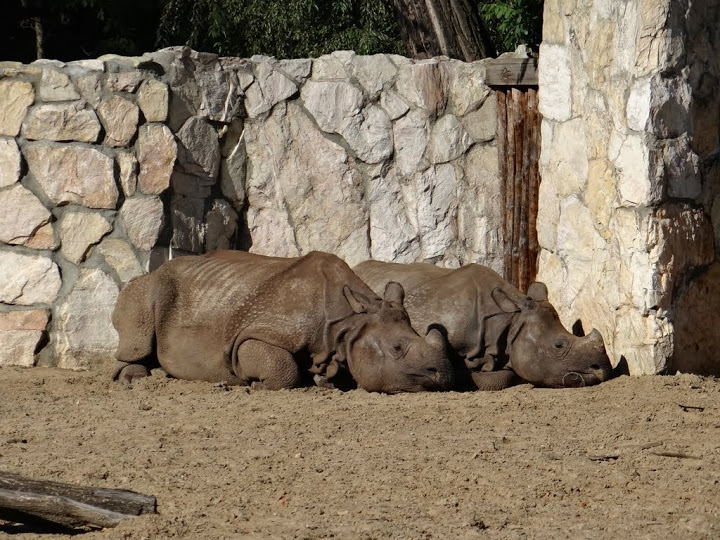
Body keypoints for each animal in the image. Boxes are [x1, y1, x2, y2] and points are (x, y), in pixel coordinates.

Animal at [112, 250, 455, 393]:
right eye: (397, 348)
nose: (444, 376)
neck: (347, 323)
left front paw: (323, 381)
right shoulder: (251, 336)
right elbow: (283, 367)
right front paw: (257, 384)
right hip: (150, 285)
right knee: (138, 323)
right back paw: (135, 380)